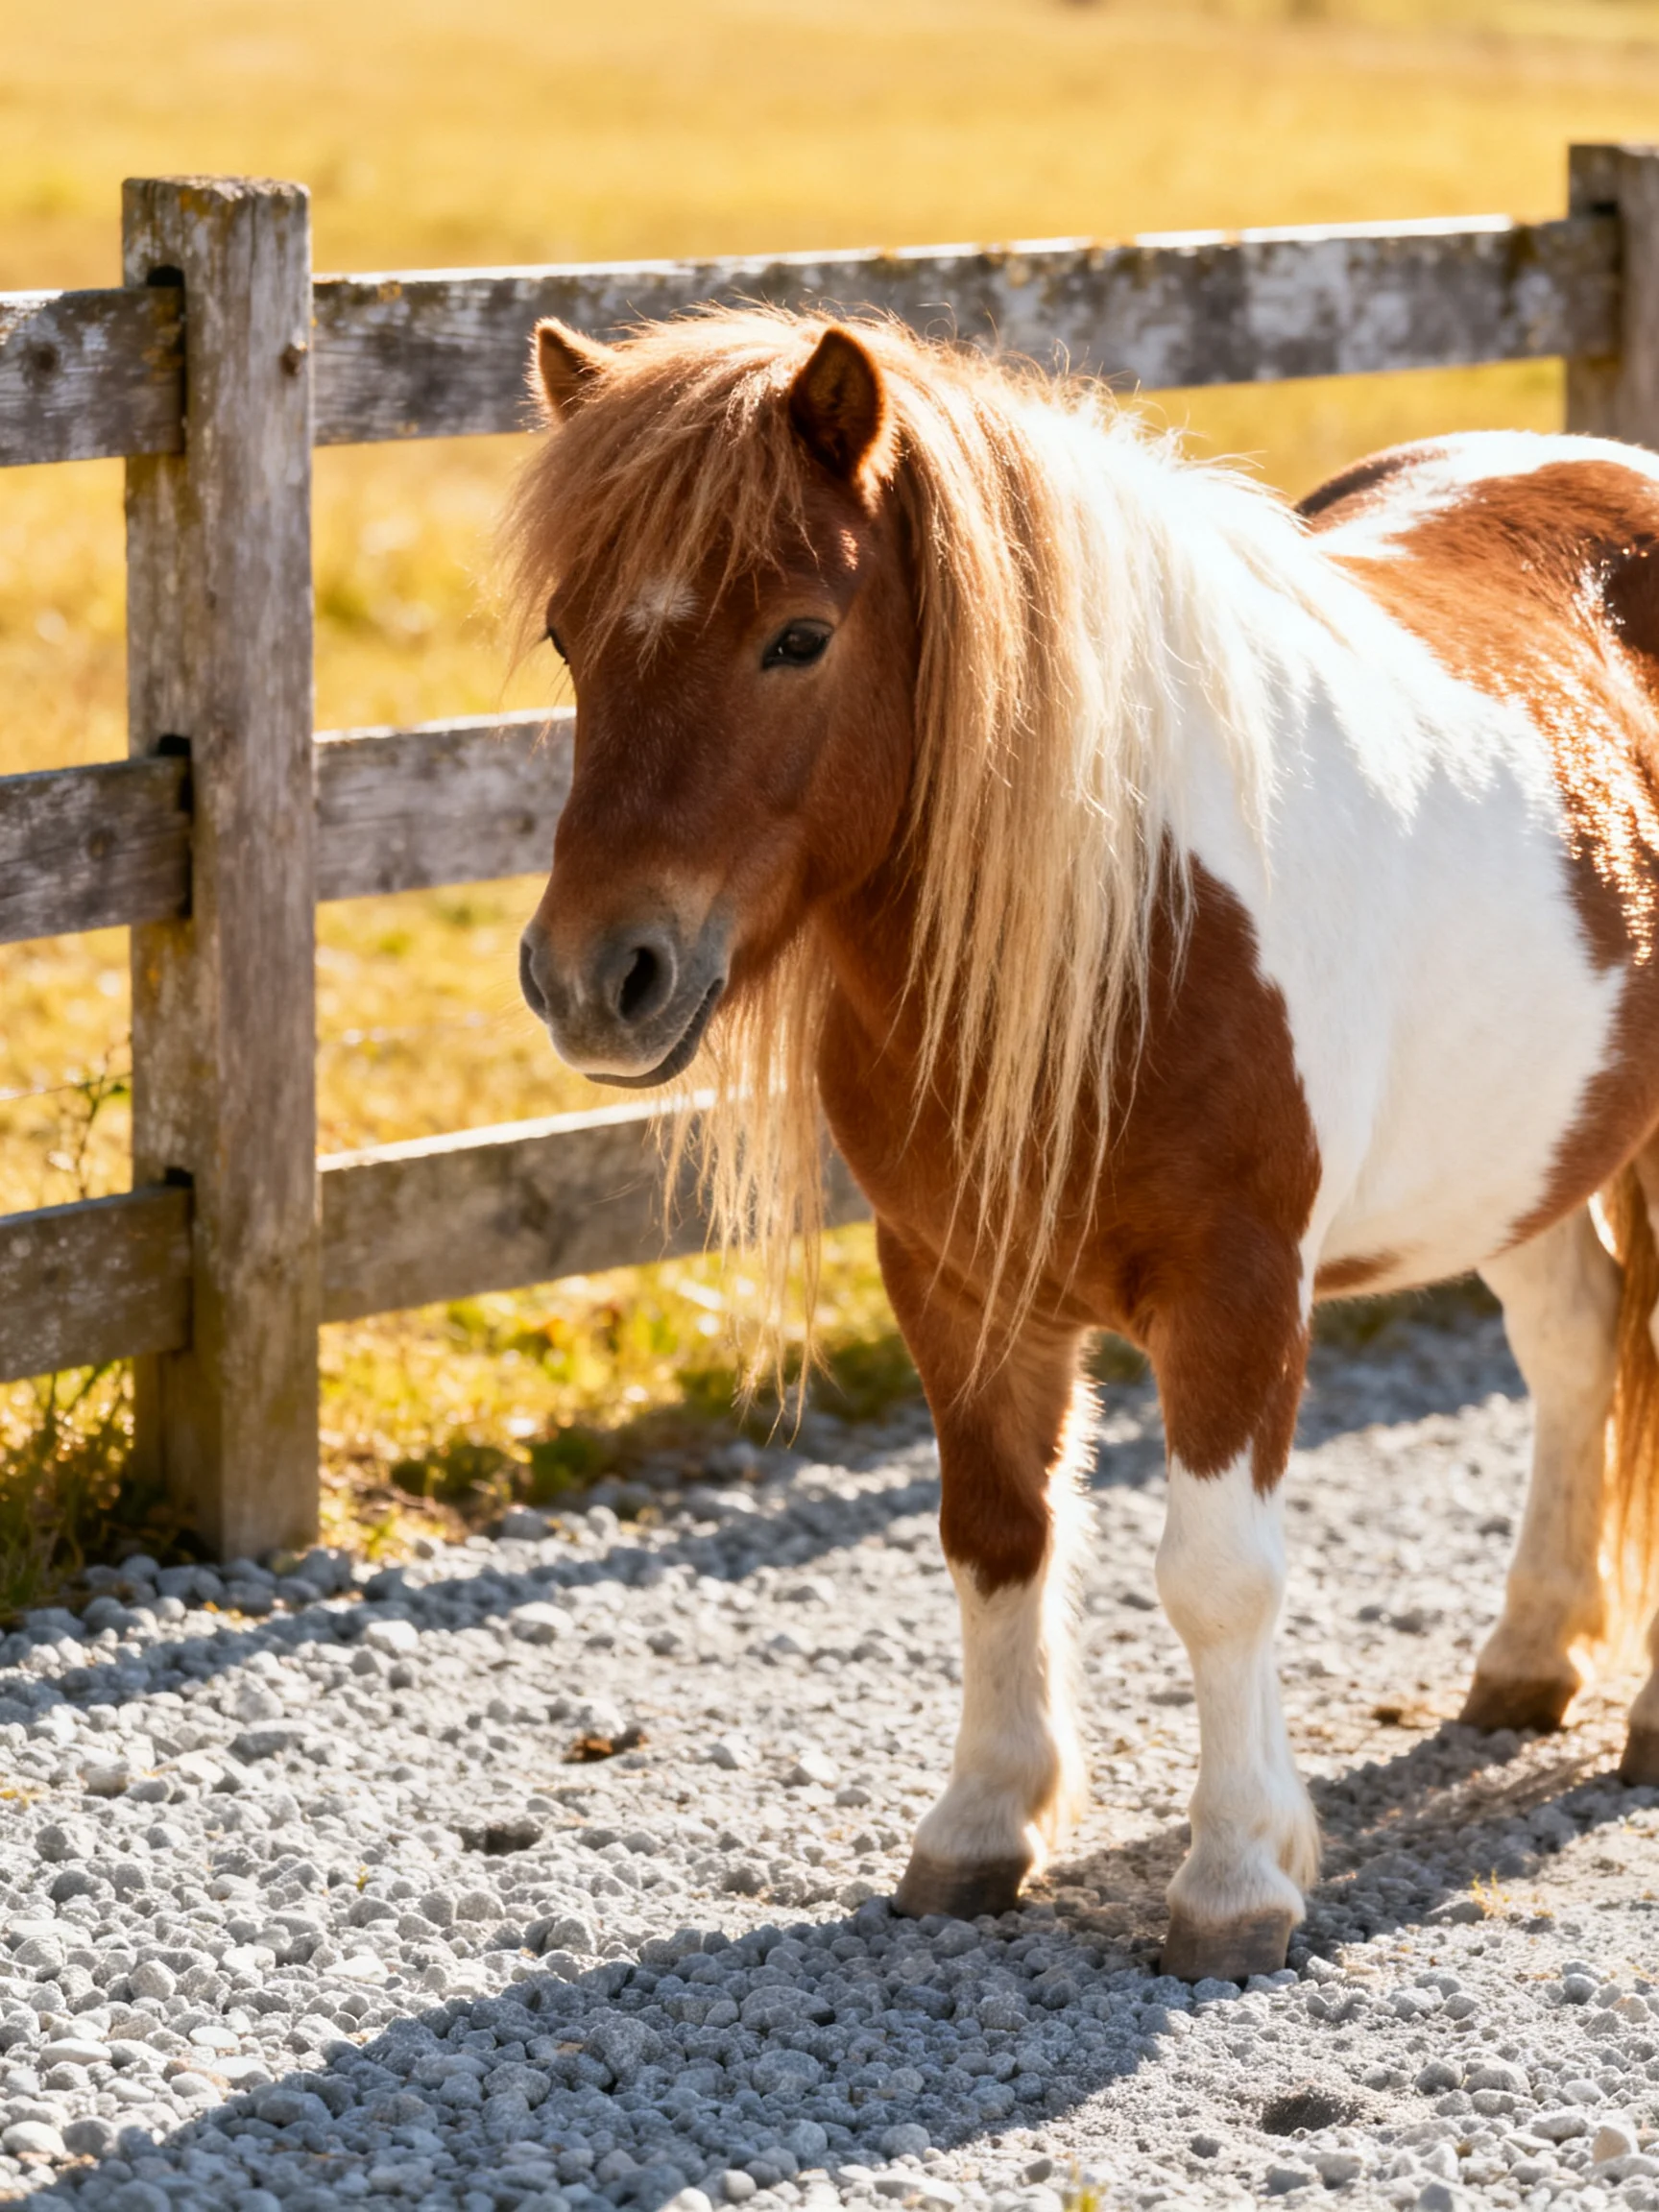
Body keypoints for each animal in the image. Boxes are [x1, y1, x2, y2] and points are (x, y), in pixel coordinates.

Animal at [506, 305, 1659, 1982]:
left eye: (799, 636)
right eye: (568, 638)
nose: (598, 978)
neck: (1131, 913)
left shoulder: (1239, 1290)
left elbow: (1216, 1580)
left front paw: (1238, 1875)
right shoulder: (953, 1278)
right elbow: (997, 1537)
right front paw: (984, 1827)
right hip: (1525, 1154)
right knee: (1577, 1352)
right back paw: (1525, 1661)